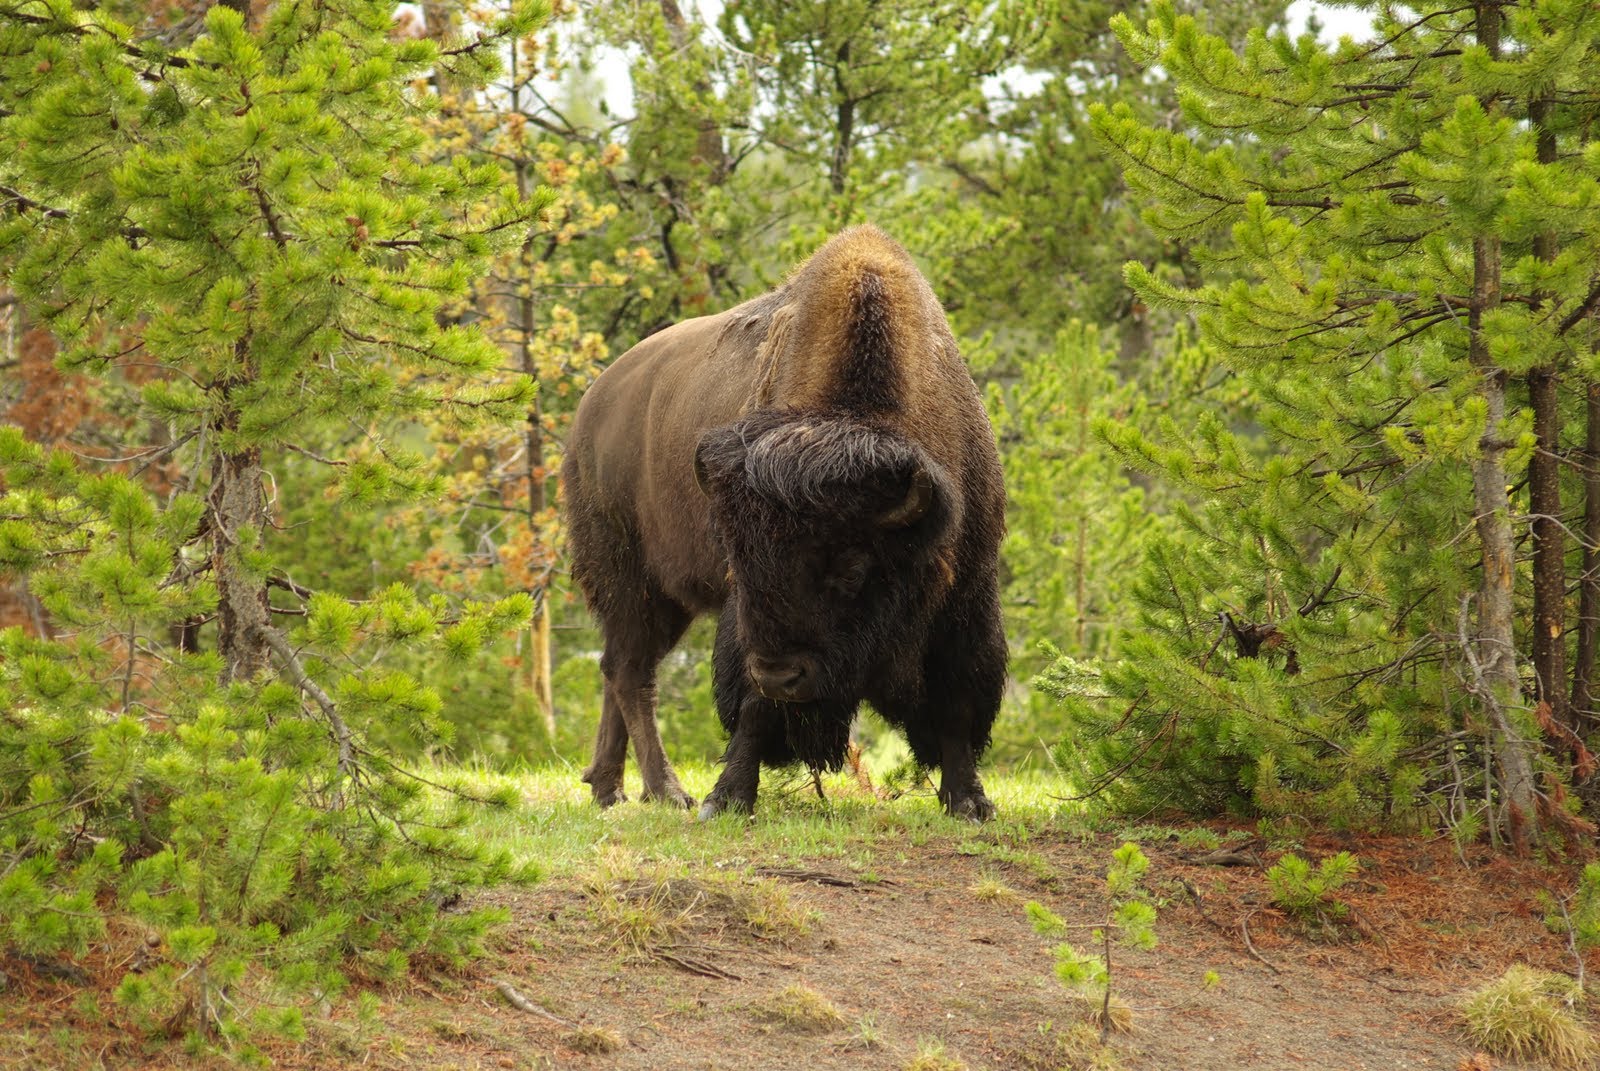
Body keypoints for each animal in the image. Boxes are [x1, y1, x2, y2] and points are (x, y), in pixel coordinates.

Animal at [566, 225, 998, 819]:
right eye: (739, 559)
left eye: (853, 568)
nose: (780, 673)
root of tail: (591, 407)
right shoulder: (744, 626)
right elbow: (752, 710)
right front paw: (724, 800)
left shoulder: (966, 596)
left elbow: (955, 702)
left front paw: (970, 803)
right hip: (630, 581)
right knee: (632, 674)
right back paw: (668, 791)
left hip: (661, 599)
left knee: (619, 669)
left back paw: (610, 789)